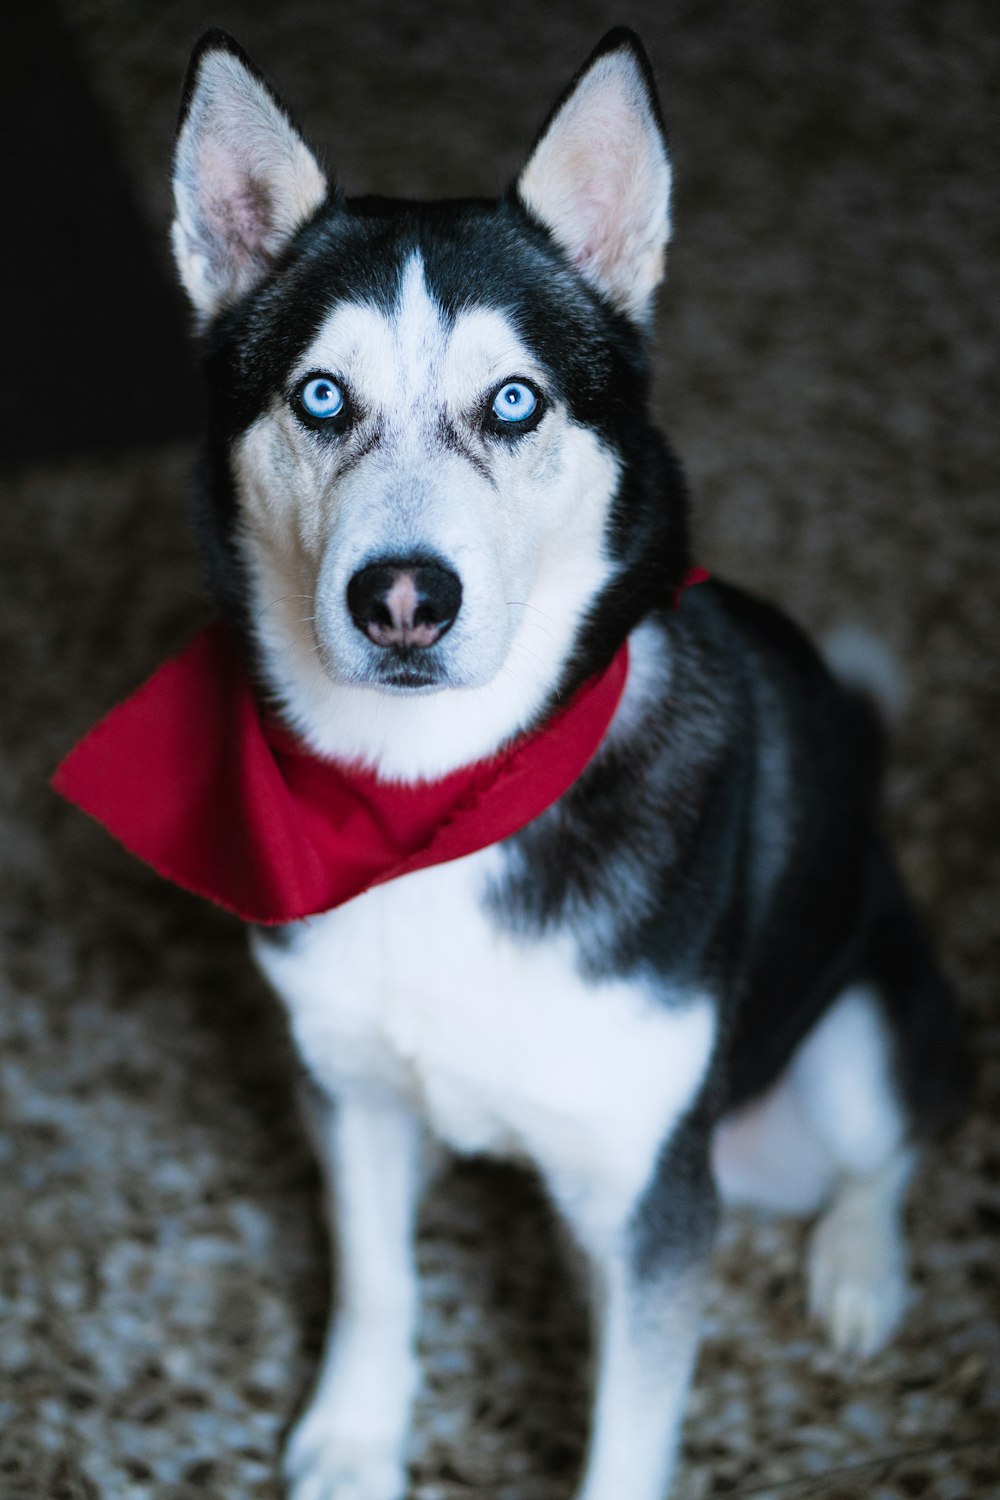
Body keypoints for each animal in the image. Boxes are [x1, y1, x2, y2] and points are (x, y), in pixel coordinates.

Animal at [167, 26, 965, 1500]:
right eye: (322, 397)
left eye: (514, 403)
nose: (402, 599)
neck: (437, 802)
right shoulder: (347, 1089)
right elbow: (374, 1273)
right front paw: (358, 1434)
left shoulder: (658, 1197)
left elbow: (628, 1427)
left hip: (845, 1053)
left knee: (887, 1144)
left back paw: (858, 1268)